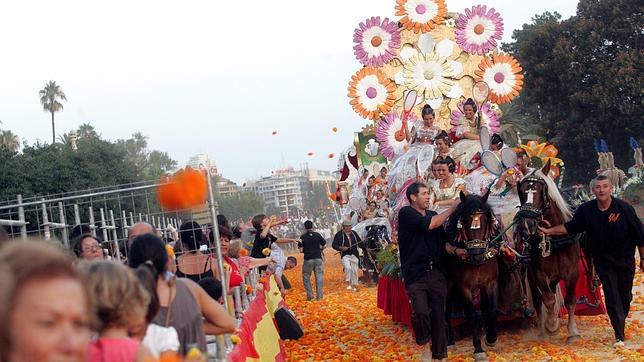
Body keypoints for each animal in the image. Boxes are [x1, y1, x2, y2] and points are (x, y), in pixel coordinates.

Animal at [446, 191, 500, 360]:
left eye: (486, 220)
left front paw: (491, 338)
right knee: (446, 309)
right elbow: (471, 314)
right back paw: (449, 341)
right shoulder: (463, 286)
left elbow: (492, 309)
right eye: (464, 221)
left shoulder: (491, 282)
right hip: (449, 284)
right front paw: (478, 348)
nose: (477, 254)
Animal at [512, 160, 584, 340]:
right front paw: (552, 325)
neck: (554, 238)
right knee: (539, 300)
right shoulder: (538, 273)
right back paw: (542, 330)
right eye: (522, 191)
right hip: (531, 274)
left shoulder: (572, 271)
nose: (528, 224)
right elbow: (548, 299)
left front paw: (572, 331)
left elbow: (570, 300)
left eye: (541, 191)